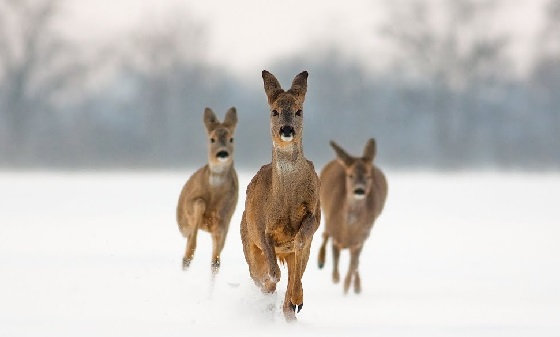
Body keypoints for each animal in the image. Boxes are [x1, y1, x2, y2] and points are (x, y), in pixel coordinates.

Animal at [175, 106, 236, 274]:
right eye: (212, 139)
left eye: (231, 139)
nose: (222, 153)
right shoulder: (191, 204)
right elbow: (200, 203)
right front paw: (189, 255)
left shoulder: (225, 219)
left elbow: (216, 259)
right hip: (182, 223)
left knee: (215, 260)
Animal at [240, 69, 322, 318]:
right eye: (274, 111)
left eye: (299, 111)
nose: (286, 129)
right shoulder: (261, 226)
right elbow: (272, 270)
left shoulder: (315, 213)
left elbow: (300, 241)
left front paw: (296, 299)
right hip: (247, 242)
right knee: (262, 278)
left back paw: (293, 305)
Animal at [318, 138, 388, 292]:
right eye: (350, 175)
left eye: (368, 176)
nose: (359, 190)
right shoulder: (335, 233)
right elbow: (336, 256)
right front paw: (336, 278)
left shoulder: (361, 238)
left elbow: (353, 264)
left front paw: (347, 287)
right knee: (325, 234)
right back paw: (320, 261)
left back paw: (356, 286)